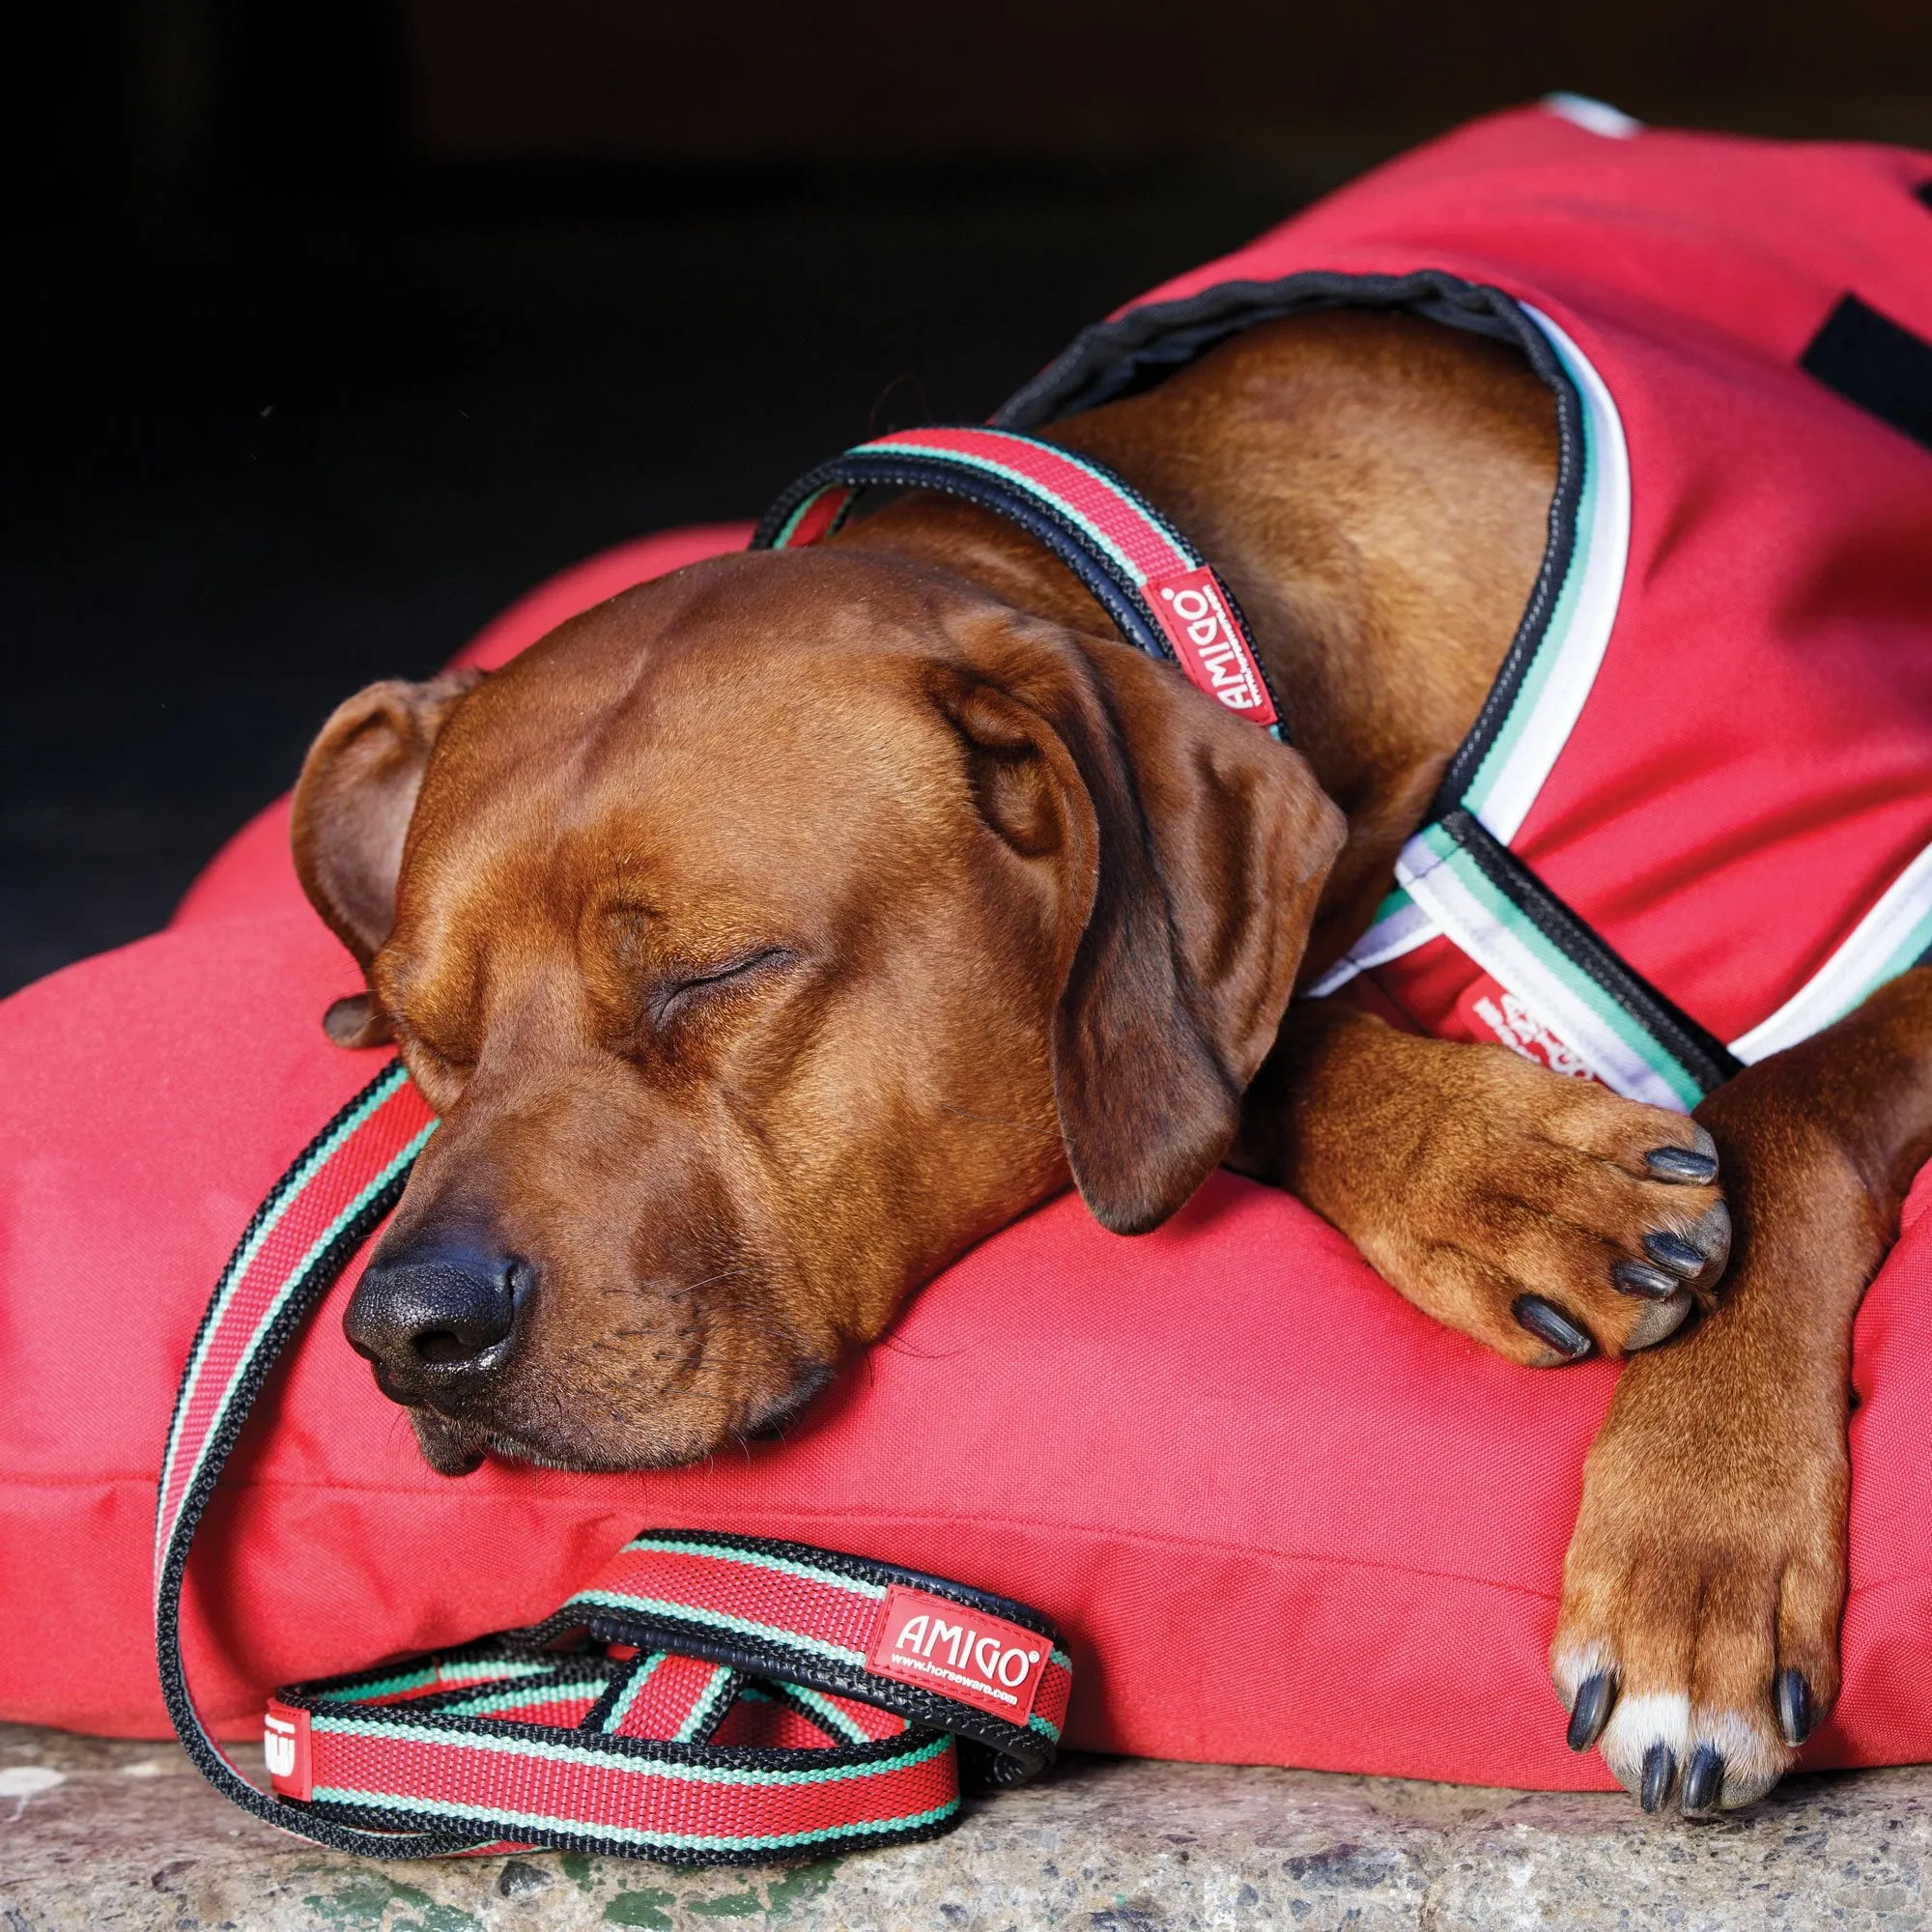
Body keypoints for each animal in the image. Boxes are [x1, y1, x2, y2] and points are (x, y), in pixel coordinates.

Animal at [286, 253, 1932, 1808]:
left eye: (717, 973)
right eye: (425, 1034)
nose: (408, 1331)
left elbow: (1785, 1103)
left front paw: (1695, 1558)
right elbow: (1249, 1051)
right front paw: (1501, 1173)